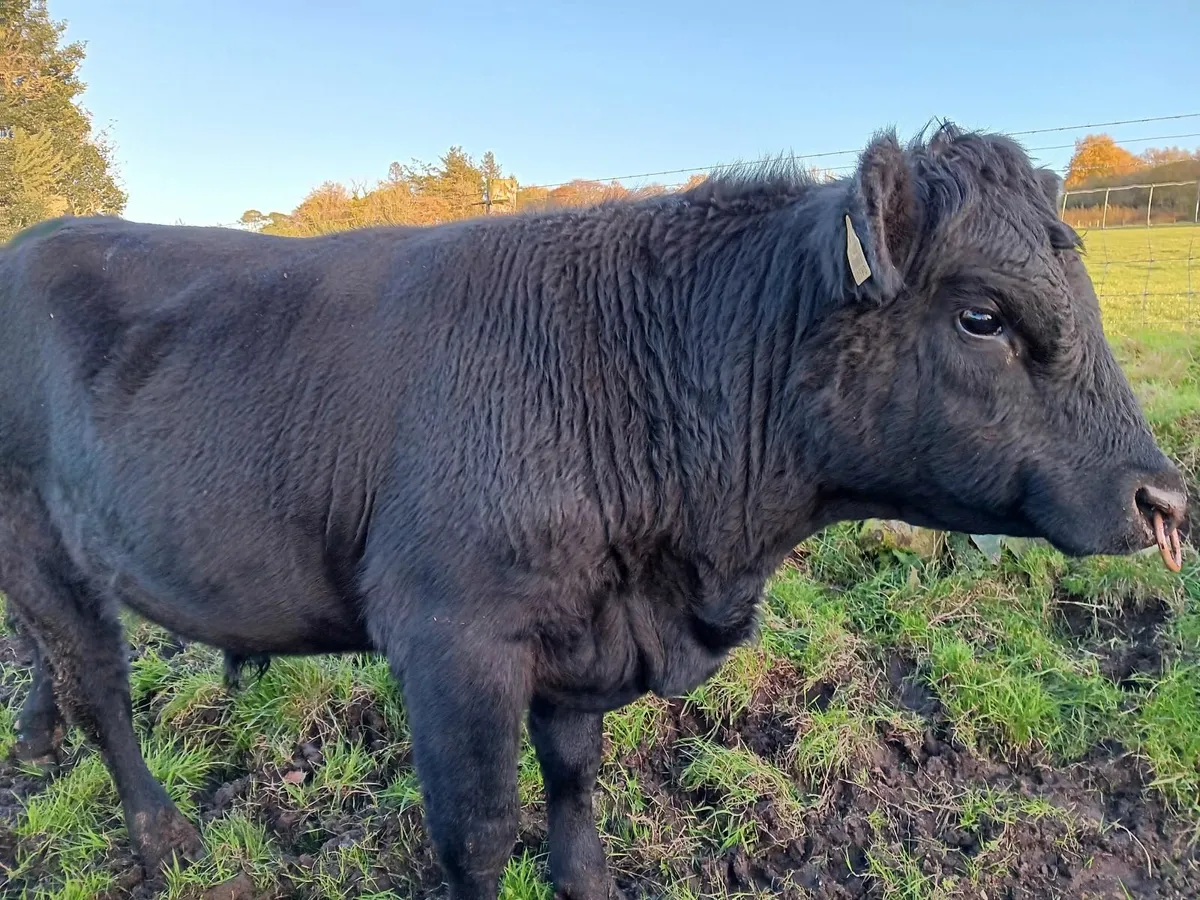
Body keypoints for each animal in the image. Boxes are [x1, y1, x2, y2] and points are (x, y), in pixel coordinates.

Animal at [0, 122, 1187, 900]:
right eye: (984, 315)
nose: (1166, 497)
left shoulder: (582, 639)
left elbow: (575, 794)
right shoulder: (453, 643)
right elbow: (478, 835)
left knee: (46, 657)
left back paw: (36, 740)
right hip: (45, 543)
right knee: (102, 683)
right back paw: (162, 837)